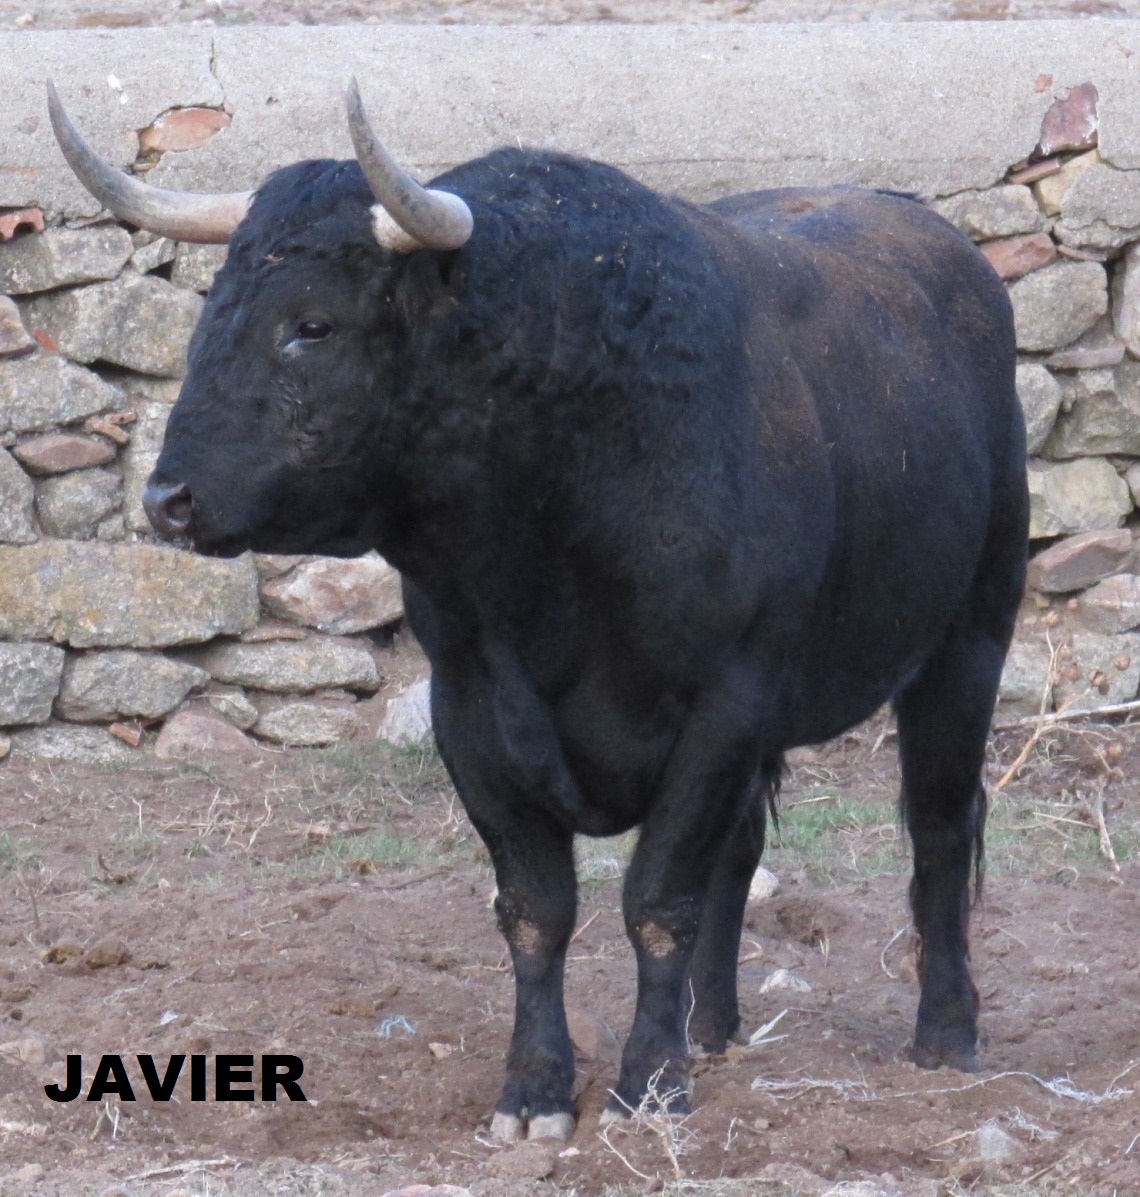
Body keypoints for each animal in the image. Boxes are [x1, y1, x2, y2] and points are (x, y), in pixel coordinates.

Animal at [49, 78, 1028, 1142]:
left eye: (311, 325)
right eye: (210, 314)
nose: (168, 500)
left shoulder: (724, 705)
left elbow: (658, 899)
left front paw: (650, 1082)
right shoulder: (472, 711)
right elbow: (538, 907)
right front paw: (537, 1089)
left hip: (968, 642)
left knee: (939, 827)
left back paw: (945, 1032)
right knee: (746, 849)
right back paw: (712, 1025)